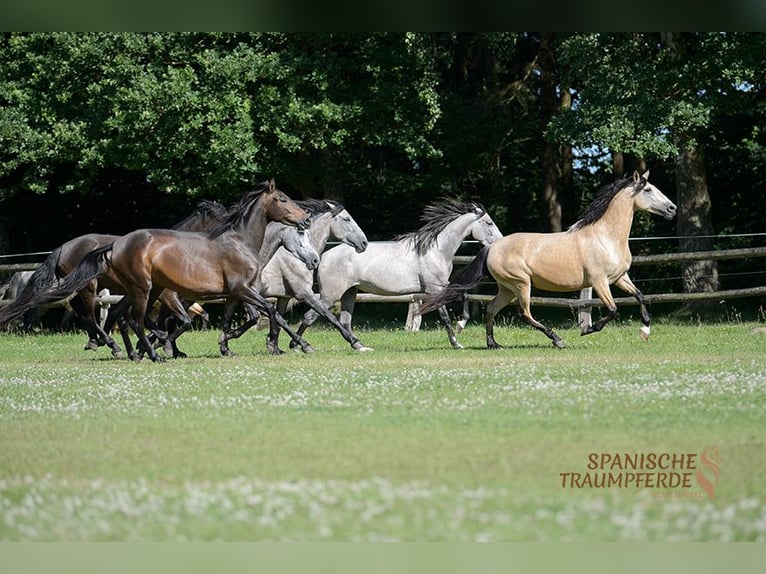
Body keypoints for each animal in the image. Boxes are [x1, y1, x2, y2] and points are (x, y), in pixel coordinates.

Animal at [11, 179, 312, 362]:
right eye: (282, 199)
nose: (306, 219)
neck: (239, 241)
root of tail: (116, 244)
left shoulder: (234, 294)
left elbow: (249, 317)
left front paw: (228, 345)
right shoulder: (240, 290)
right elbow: (269, 311)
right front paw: (288, 344)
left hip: (144, 290)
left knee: (123, 318)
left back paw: (129, 349)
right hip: (129, 289)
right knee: (122, 319)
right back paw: (136, 350)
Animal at [219, 198, 371, 353]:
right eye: (347, 219)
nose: (364, 243)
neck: (295, 257)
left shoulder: (284, 297)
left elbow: (279, 318)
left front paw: (274, 346)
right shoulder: (303, 293)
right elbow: (327, 315)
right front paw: (356, 342)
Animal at [294, 197, 503, 349]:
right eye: (489, 223)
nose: (501, 242)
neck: (434, 250)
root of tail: (323, 256)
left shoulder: (443, 286)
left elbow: (465, 296)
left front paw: (461, 326)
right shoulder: (434, 289)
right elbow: (444, 315)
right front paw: (456, 342)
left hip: (349, 293)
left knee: (344, 321)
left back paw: (357, 345)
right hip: (331, 295)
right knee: (311, 316)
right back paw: (298, 346)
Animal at [418, 171, 677, 349]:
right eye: (648, 190)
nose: (672, 208)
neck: (606, 236)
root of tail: (492, 247)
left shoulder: (620, 277)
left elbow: (640, 296)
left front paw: (645, 331)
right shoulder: (600, 281)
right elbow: (613, 310)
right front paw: (588, 329)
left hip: (507, 288)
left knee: (490, 309)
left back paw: (493, 344)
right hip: (522, 284)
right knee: (524, 314)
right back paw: (557, 339)